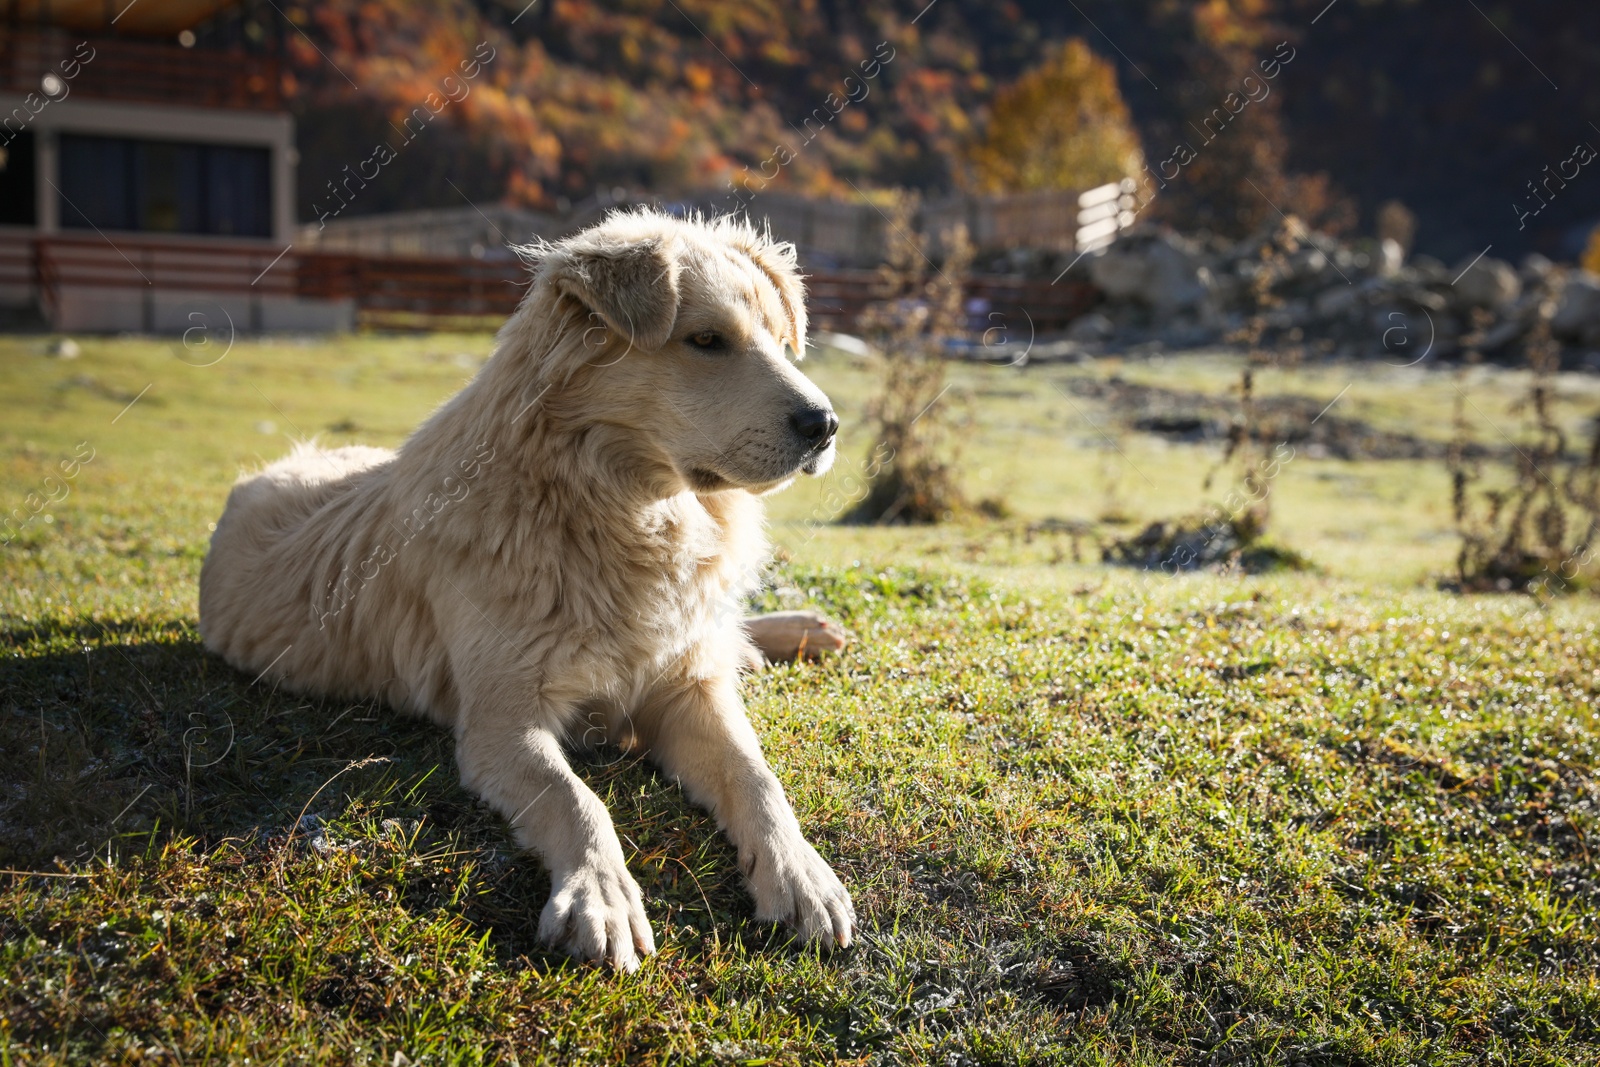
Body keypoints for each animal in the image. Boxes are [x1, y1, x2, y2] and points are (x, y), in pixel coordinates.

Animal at [198, 206, 857, 966]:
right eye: (706, 340)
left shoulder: (687, 685)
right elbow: (574, 798)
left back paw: (805, 628)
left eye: (782, 342)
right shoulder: (501, 721)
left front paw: (801, 874)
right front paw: (601, 893)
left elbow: (758, 778)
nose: (826, 426)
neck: (620, 509)